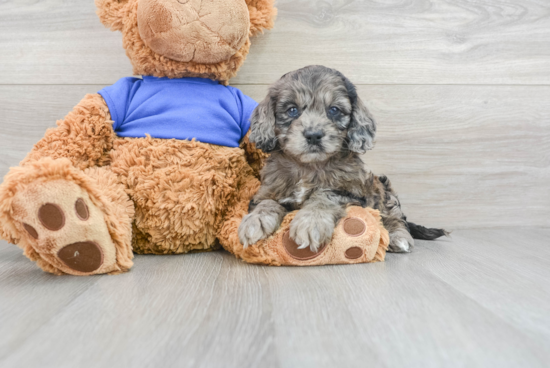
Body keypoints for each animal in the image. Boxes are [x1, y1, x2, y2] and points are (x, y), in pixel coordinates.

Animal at [239, 65, 446, 253]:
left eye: (334, 110)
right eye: (292, 110)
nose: (313, 135)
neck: (309, 167)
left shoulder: (353, 193)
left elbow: (325, 195)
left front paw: (311, 222)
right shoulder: (266, 191)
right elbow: (267, 203)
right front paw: (255, 221)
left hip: (383, 189)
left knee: (394, 216)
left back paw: (398, 237)